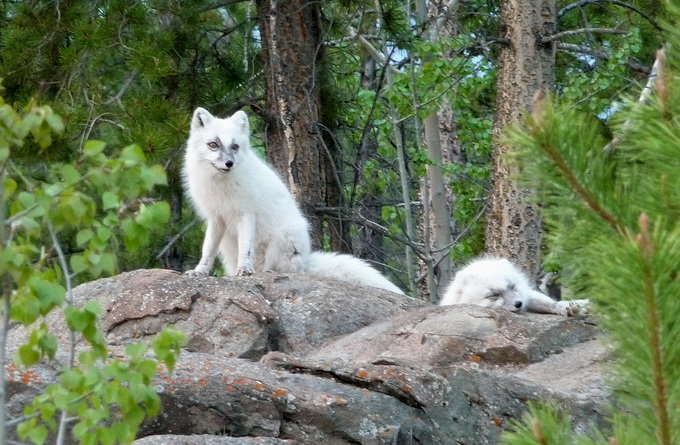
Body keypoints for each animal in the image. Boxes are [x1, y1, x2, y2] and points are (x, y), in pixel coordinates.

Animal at [438, 255, 588, 314]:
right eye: (494, 295)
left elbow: (551, 303)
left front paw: (571, 307)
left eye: (512, 287)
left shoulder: (527, 295)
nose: (518, 304)